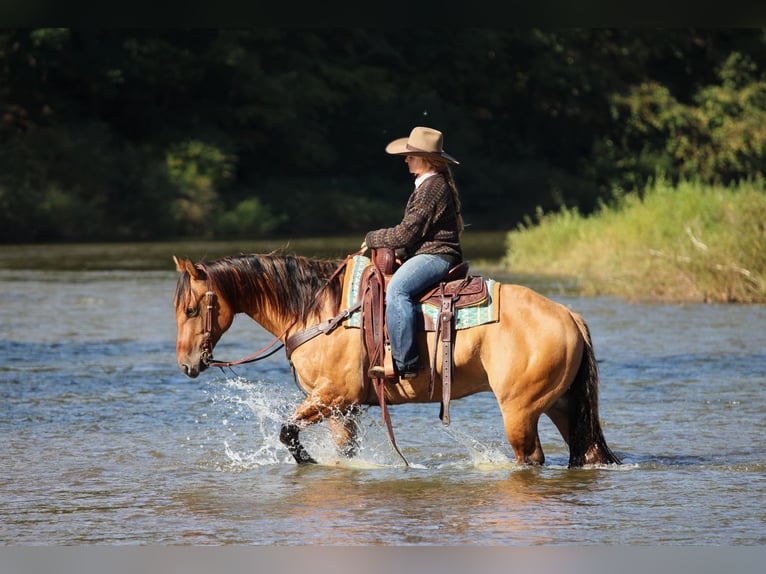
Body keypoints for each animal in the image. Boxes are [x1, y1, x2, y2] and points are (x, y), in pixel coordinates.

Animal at [172, 251, 621, 468]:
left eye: (192, 309)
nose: (186, 365)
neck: (317, 309)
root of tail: (568, 314)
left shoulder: (332, 396)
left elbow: (286, 432)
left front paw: (309, 460)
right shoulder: (344, 409)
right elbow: (345, 452)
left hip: (520, 411)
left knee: (530, 459)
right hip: (562, 405)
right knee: (585, 452)